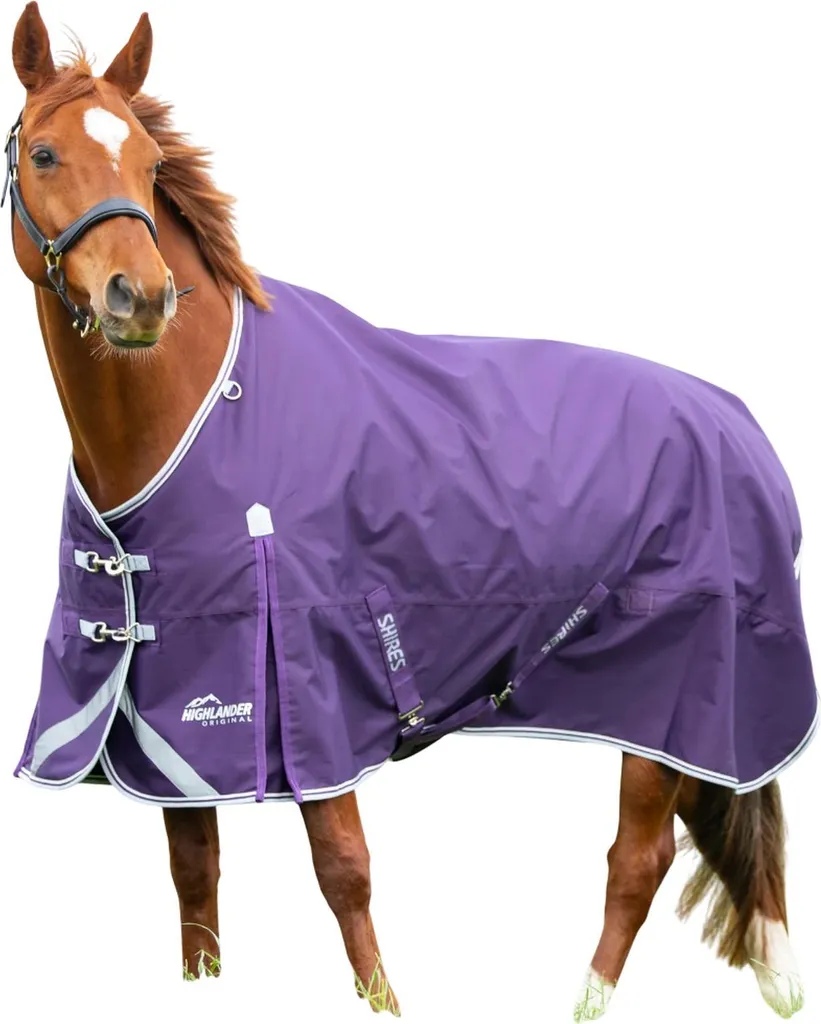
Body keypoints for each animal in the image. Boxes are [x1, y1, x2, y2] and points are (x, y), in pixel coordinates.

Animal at [6, 5, 816, 1020]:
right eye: (42, 153)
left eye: (151, 163)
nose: (140, 297)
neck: (205, 411)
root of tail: (739, 425)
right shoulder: (174, 719)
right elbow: (195, 875)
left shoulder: (311, 685)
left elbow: (342, 869)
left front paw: (382, 1000)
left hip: (665, 693)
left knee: (639, 858)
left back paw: (586, 997)